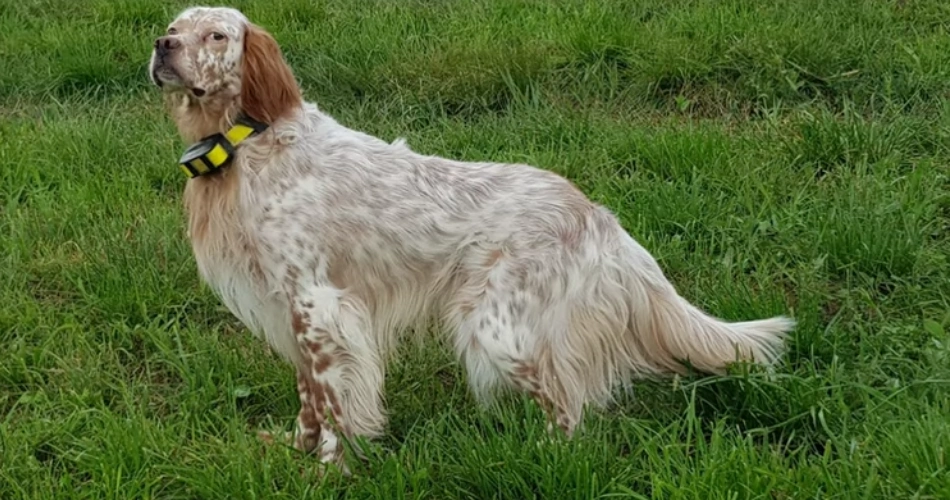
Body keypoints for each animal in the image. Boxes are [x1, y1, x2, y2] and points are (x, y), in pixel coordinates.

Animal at [149, 5, 796, 470]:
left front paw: (331, 468)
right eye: (174, 27)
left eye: (216, 36)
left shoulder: (319, 305)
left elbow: (337, 403)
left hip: (496, 328)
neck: (250, 143)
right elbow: (311, 398)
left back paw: (542, 458)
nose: (162, 46)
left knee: (570, 408)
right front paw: (297, 449)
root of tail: (597, 215)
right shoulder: (289, 311)